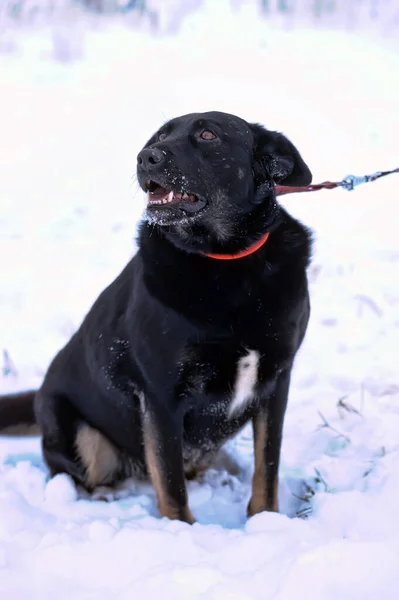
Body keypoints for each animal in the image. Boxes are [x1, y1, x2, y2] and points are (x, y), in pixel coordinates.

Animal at [0, 110, 312, 524]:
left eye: (208, 134)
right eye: (159, 136)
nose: (145, 157)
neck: (226, 262)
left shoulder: (277, 380)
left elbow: (267, 466)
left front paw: (265, 520)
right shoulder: (160, 395)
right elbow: (170, 479)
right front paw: (182, 531)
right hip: (74, 429)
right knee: (80, 476)